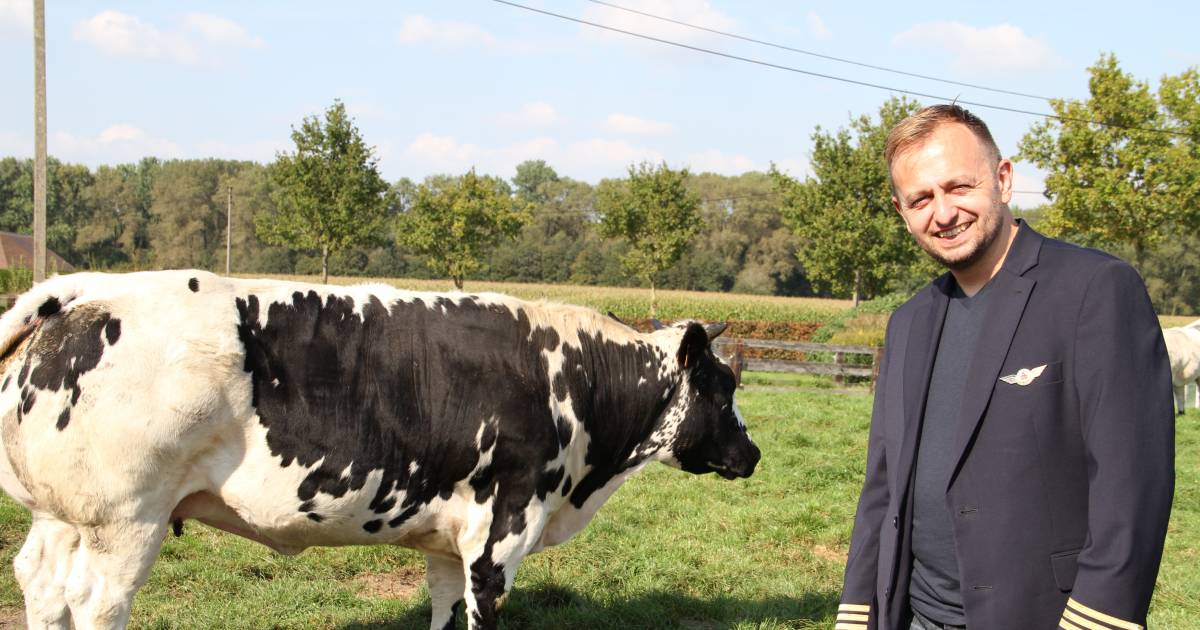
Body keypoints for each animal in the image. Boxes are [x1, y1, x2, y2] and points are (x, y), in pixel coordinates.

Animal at [0, 270, 760, 630]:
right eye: (722, 388)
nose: (752, 454)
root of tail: (91, 288)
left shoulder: (448, 537)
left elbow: (442, 609)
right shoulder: (502, 532)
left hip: (63, 514)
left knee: (41, 584)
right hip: (126, 518)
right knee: (97, 602)